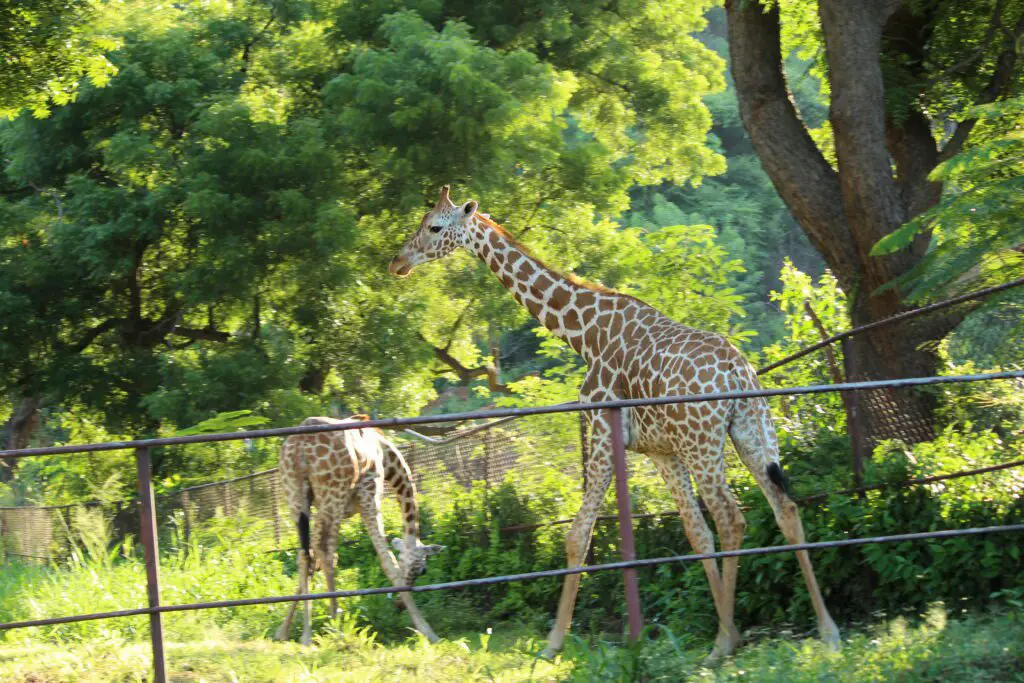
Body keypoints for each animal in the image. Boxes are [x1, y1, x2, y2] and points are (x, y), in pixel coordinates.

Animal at [274, 417, 442, 647]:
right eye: (422, 570)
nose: (399, 605)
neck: (387, 456)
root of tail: (301, 445)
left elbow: (312, 560)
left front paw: (283, 630)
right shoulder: (370, 496)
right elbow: (388, 562)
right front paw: (427, 632)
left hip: (296, 496)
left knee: (306, 554)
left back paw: (308, 632)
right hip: (333, 495)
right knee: (327, 554)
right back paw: (334, 625)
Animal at [389, 187, 839, 663]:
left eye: (434, 226)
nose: (398, 262)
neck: (584, 333)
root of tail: (739, 374)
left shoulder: (605, 433)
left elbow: (578, 536)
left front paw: (552, 644)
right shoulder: (660, 451)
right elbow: (696, 534)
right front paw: (731, 631)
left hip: (703, 443)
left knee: (732, 518)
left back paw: (720, 647)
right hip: (752, 432)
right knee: (784, 507)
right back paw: (825, 632)